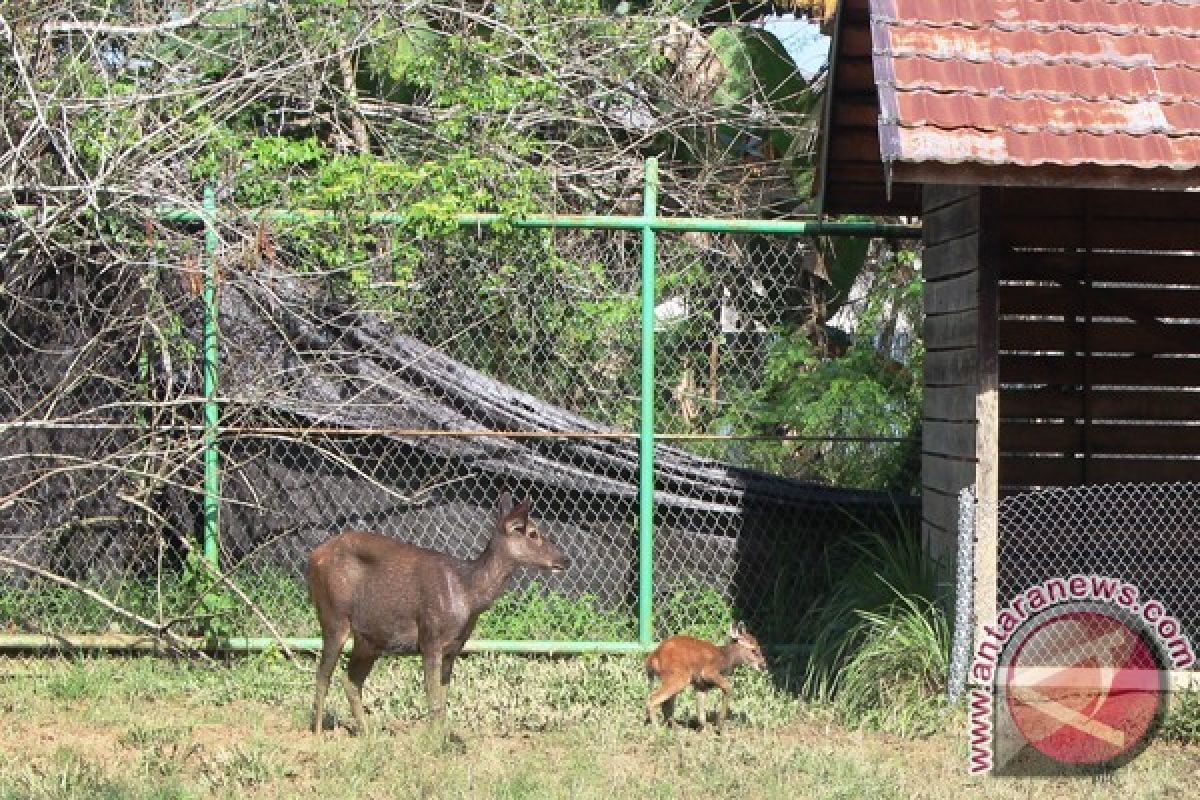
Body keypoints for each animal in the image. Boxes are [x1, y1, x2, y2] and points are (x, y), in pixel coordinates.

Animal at [304, 491, 566, 734]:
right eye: (532, 533)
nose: (564, 559)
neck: (468, 593)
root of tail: (313, 555)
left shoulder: (454, 648)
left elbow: (442, 700)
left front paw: (440, 740)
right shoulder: (430, 636)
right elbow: (433, 700)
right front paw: (432, 742)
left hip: (369, 639)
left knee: (351, 680)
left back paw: (368, 733)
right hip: (333, 616)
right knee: (323, 675)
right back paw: (317, 733)